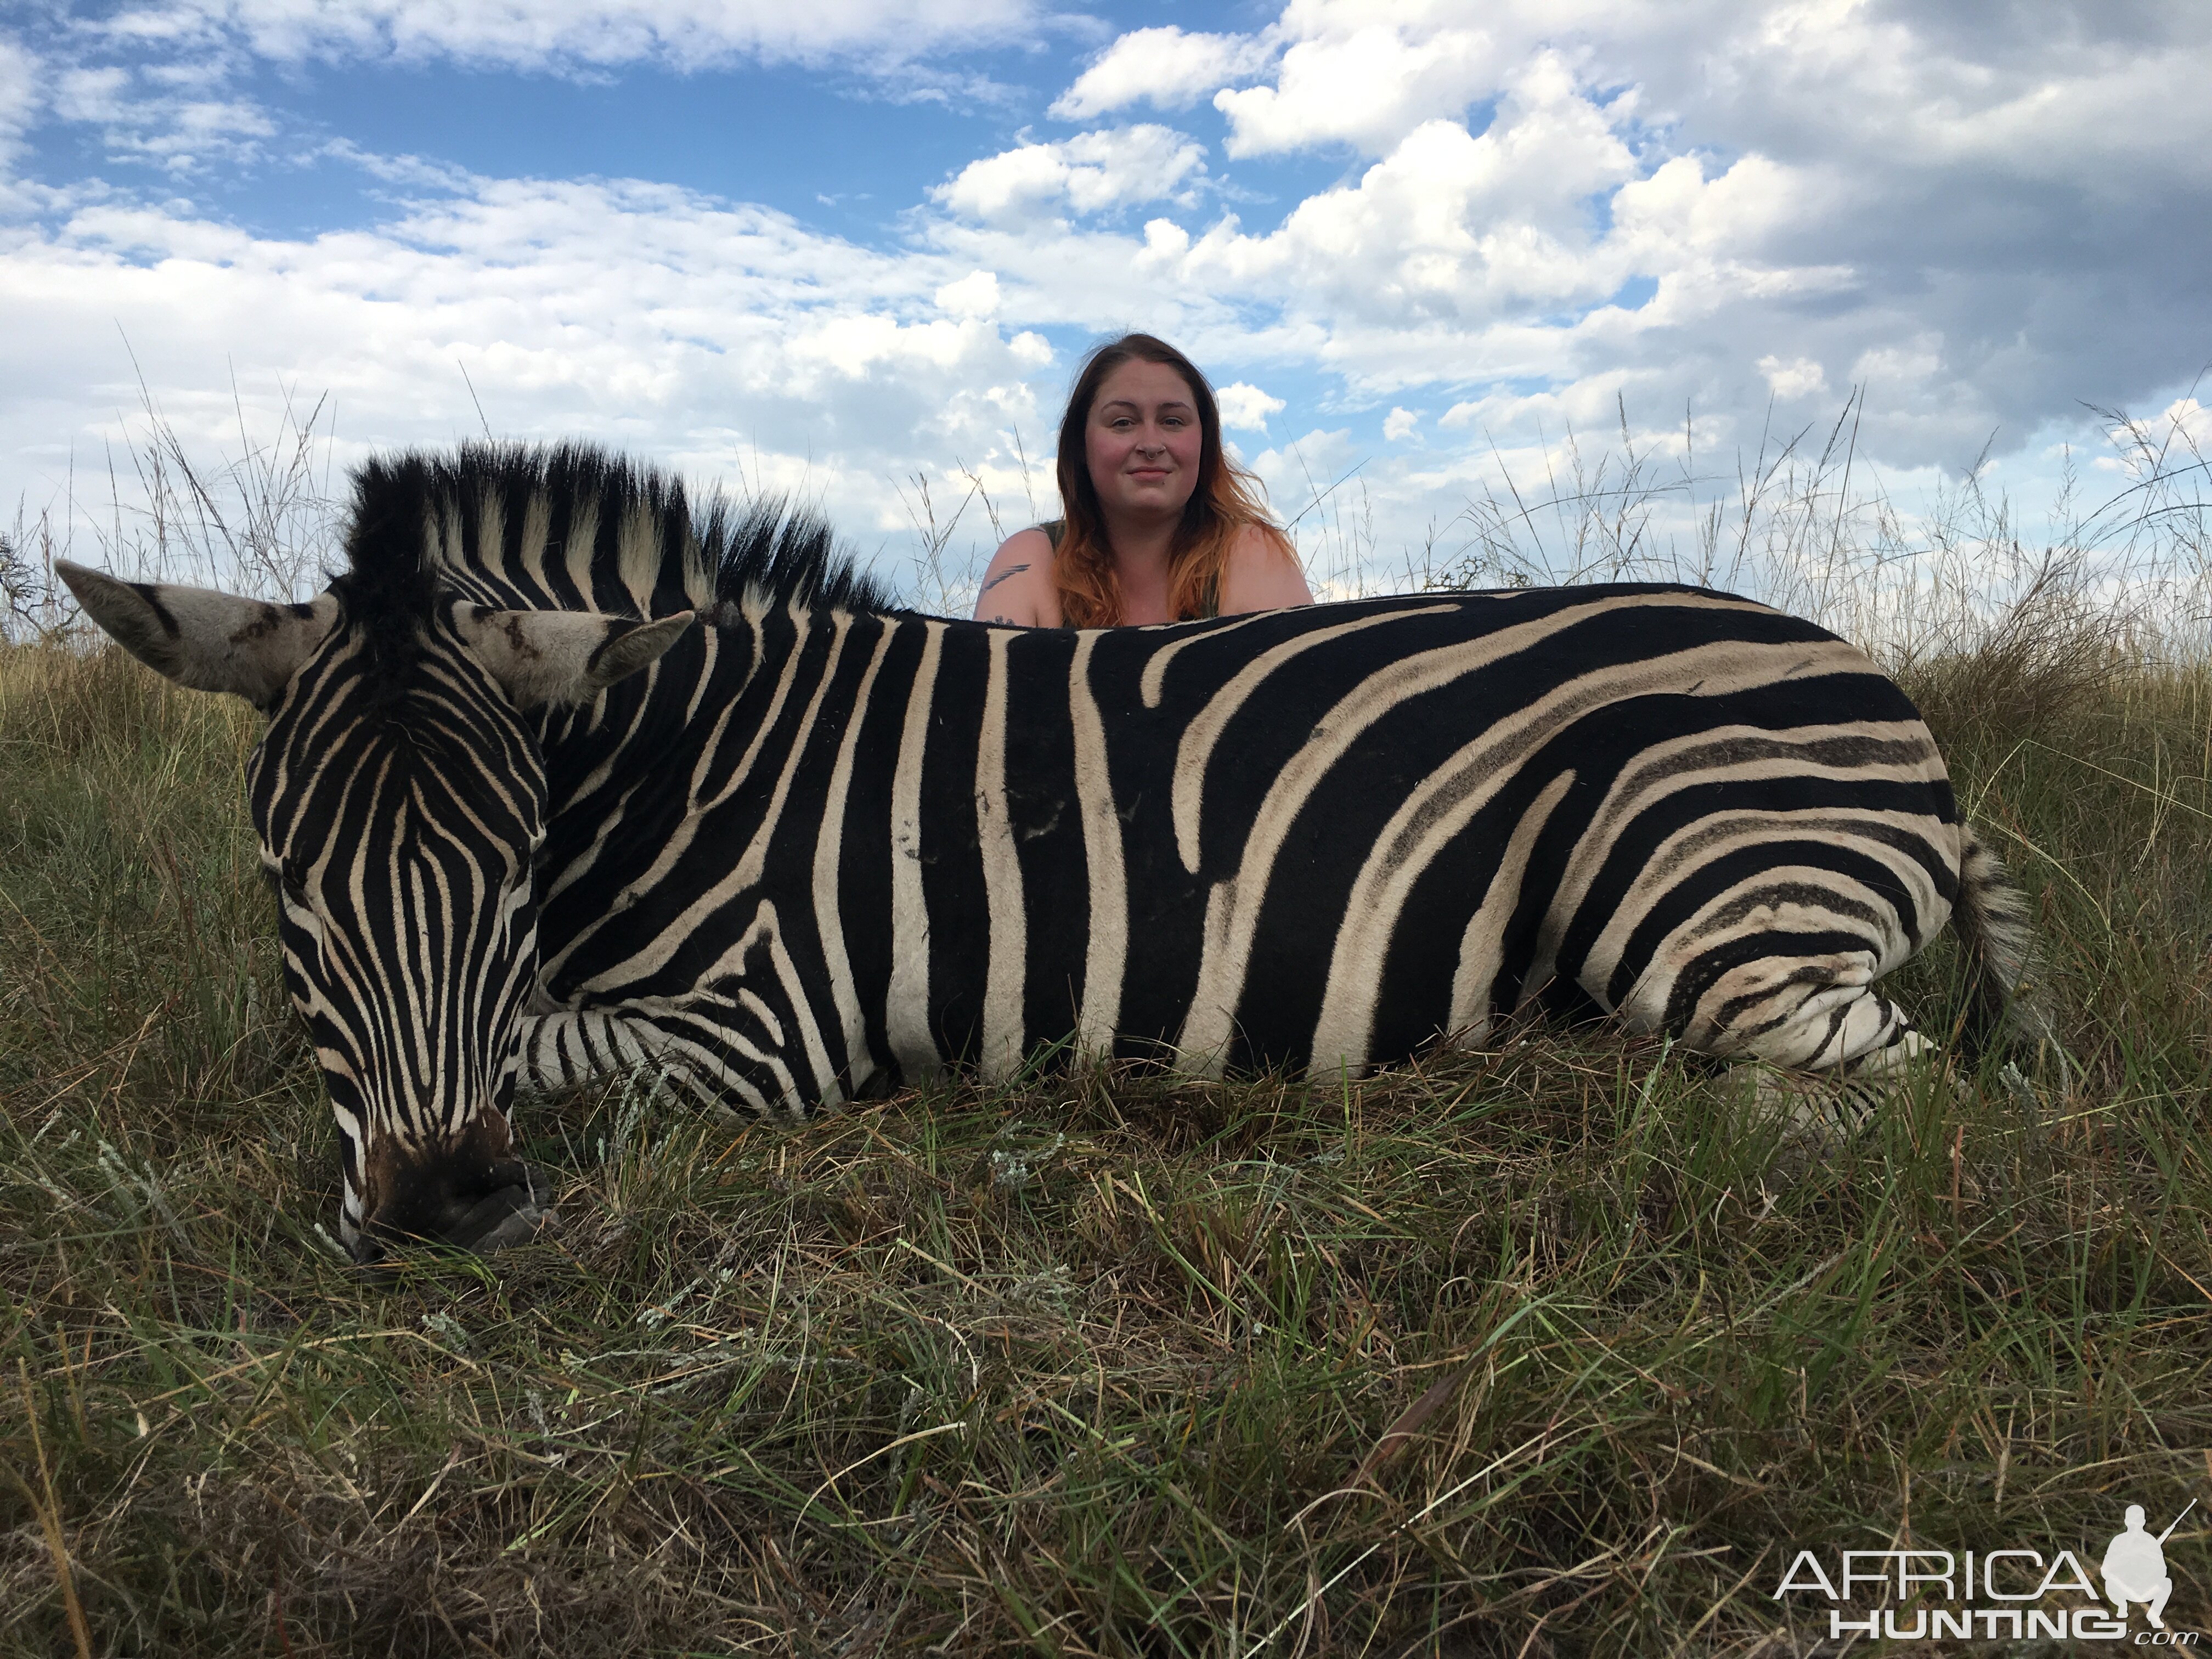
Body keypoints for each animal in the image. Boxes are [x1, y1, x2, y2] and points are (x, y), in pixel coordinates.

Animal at [60, 442, 2035, 1256]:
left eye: (509, 863)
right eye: (288, 885)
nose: (443, 1211)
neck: (681, 763)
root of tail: (1890, 692)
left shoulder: (768, 1031)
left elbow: (545, 1046)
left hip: (1704, 897)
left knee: (1915, 1102)